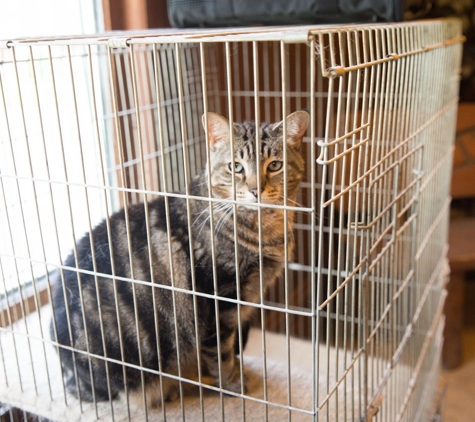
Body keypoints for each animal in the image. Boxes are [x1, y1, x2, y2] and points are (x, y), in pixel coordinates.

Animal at [50, 110, 310, 408]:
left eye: (275, 165)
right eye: (236, 167)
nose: (256, 189)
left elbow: (226, 351)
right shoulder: (219, 299)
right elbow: (222, 352)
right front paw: (233, 383)